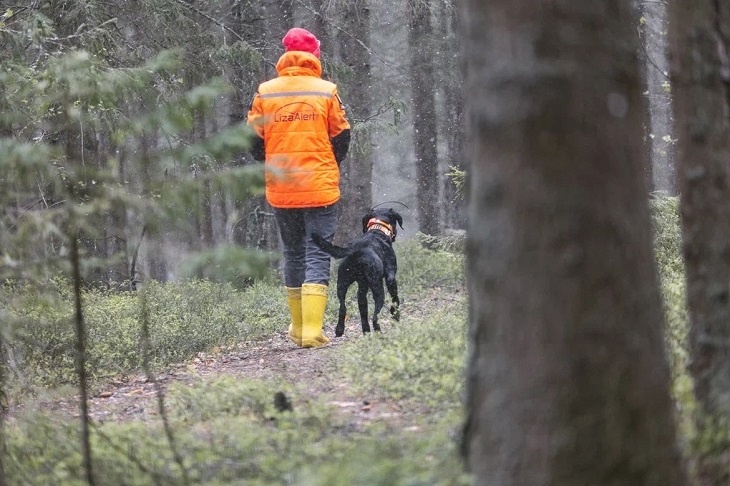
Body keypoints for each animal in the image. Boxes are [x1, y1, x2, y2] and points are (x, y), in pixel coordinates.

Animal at [312, 207, 404, 336]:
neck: (377, 230)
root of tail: (356, 251)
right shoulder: (391, 278)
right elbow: (395, 300)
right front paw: (395, 315)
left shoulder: (362, 286)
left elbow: (363, 310)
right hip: (377, 288)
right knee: (375, 315)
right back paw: (378, 331)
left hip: (342, 285)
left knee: (343, 308)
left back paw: (341, 329)